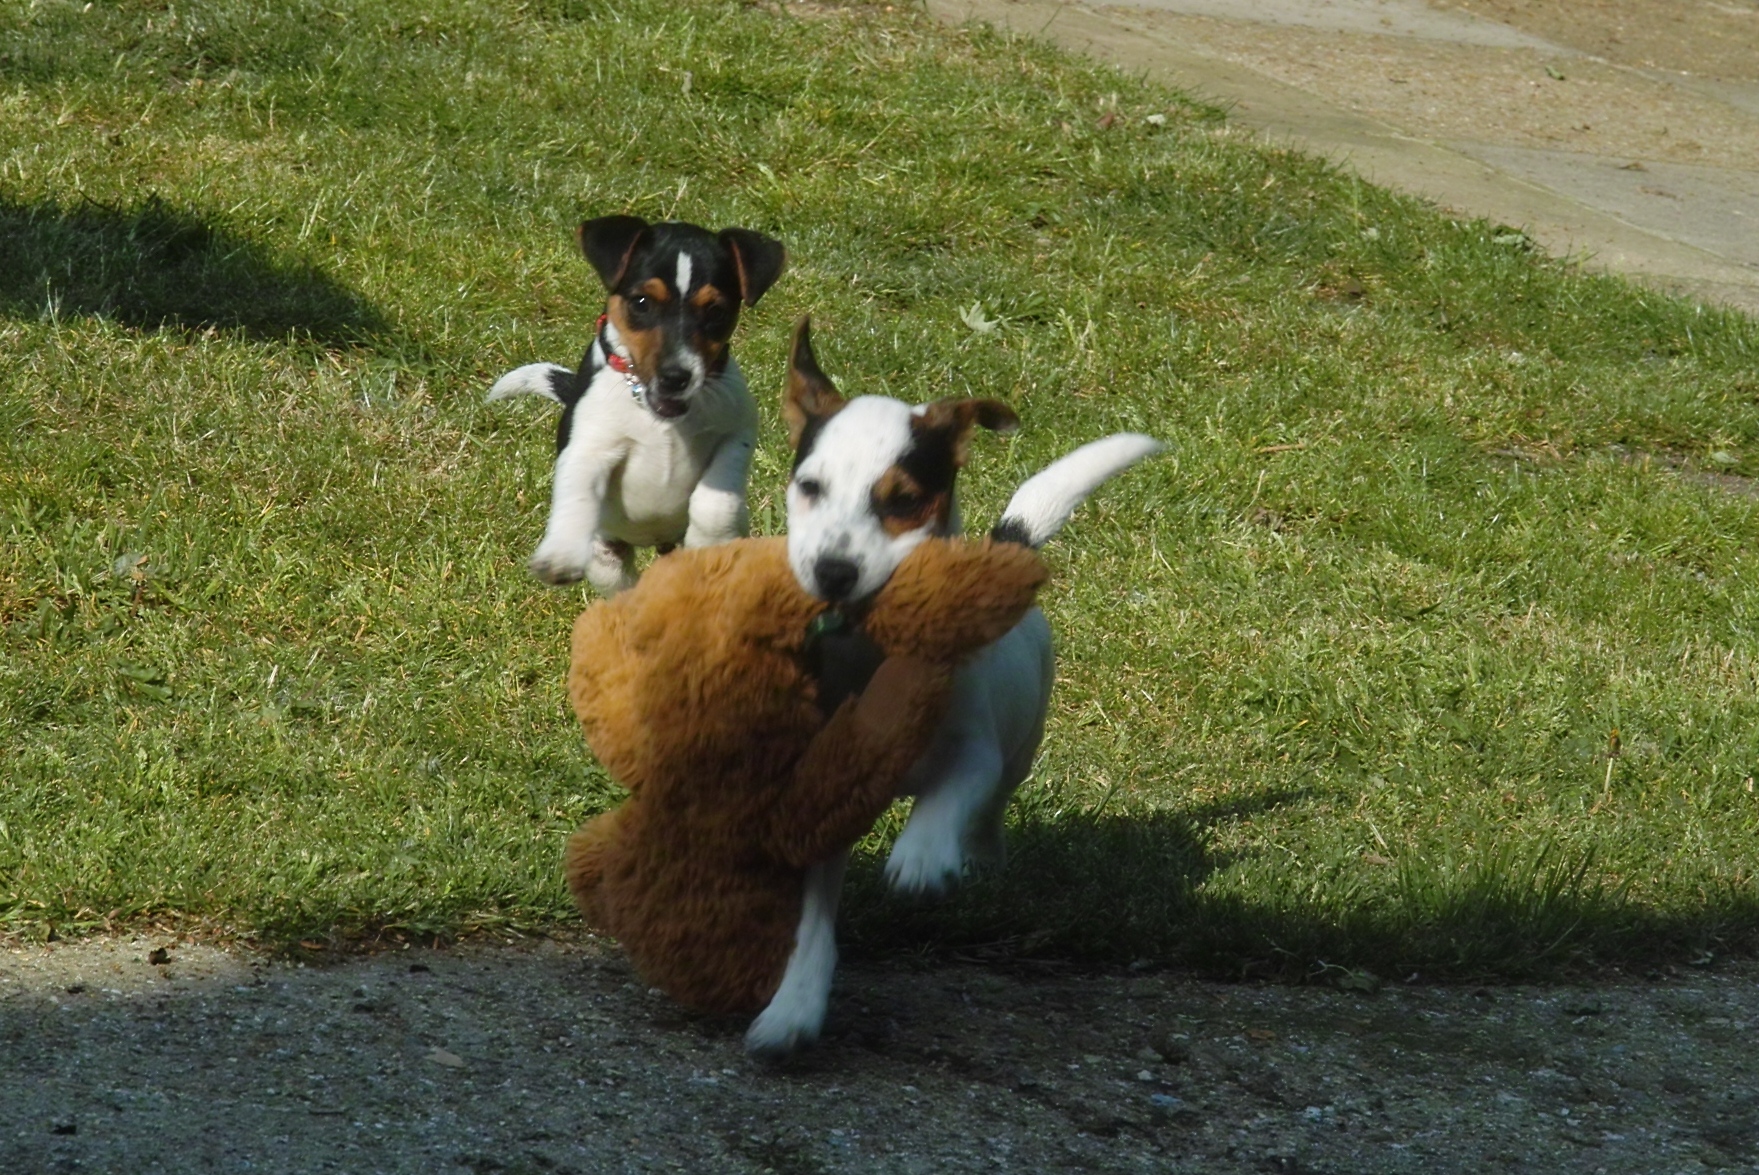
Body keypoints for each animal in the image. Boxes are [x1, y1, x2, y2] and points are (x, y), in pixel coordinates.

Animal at [485, 214, 780, 591]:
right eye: (641, 303)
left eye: (716, 311)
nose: (676, 377)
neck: (660, 419)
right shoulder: (589, 446)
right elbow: (577, 492)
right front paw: (560, 554)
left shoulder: (737, 431)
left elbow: (715, 501)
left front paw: (710, 540)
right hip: (608, 561)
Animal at [745, 318, 1167, 1055]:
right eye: (809, 487)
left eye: (904, 501)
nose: (832, 571)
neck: (876, 648)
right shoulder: (824, 783)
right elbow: (811, 920)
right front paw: (793, 1005)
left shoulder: (973, 743)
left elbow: (954, 789)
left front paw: (921, 855)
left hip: (1024, 740)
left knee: (993, 802)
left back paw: (980, 861)